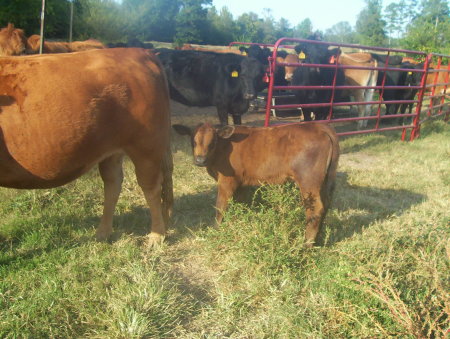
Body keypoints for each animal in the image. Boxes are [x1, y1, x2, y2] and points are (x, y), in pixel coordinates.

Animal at [0, 47, 173, 246]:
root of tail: (140, 51)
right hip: (113, 150)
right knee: (113, 183)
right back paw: (103, 233)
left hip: (146, 146)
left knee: (151, 187)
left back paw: (156, 235)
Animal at [174, 122, 340, 247]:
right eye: (193, 141)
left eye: (212, 142)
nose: (200, 160)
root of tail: (318, 126)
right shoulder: (241, 183)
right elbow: (239, 205)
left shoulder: (227, 181)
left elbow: (220, 208)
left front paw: (216, 231)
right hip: (323, 181)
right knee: (326, 204)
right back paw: (318, 240)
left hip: (308, 180)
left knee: (316, 208)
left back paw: (306, 244)